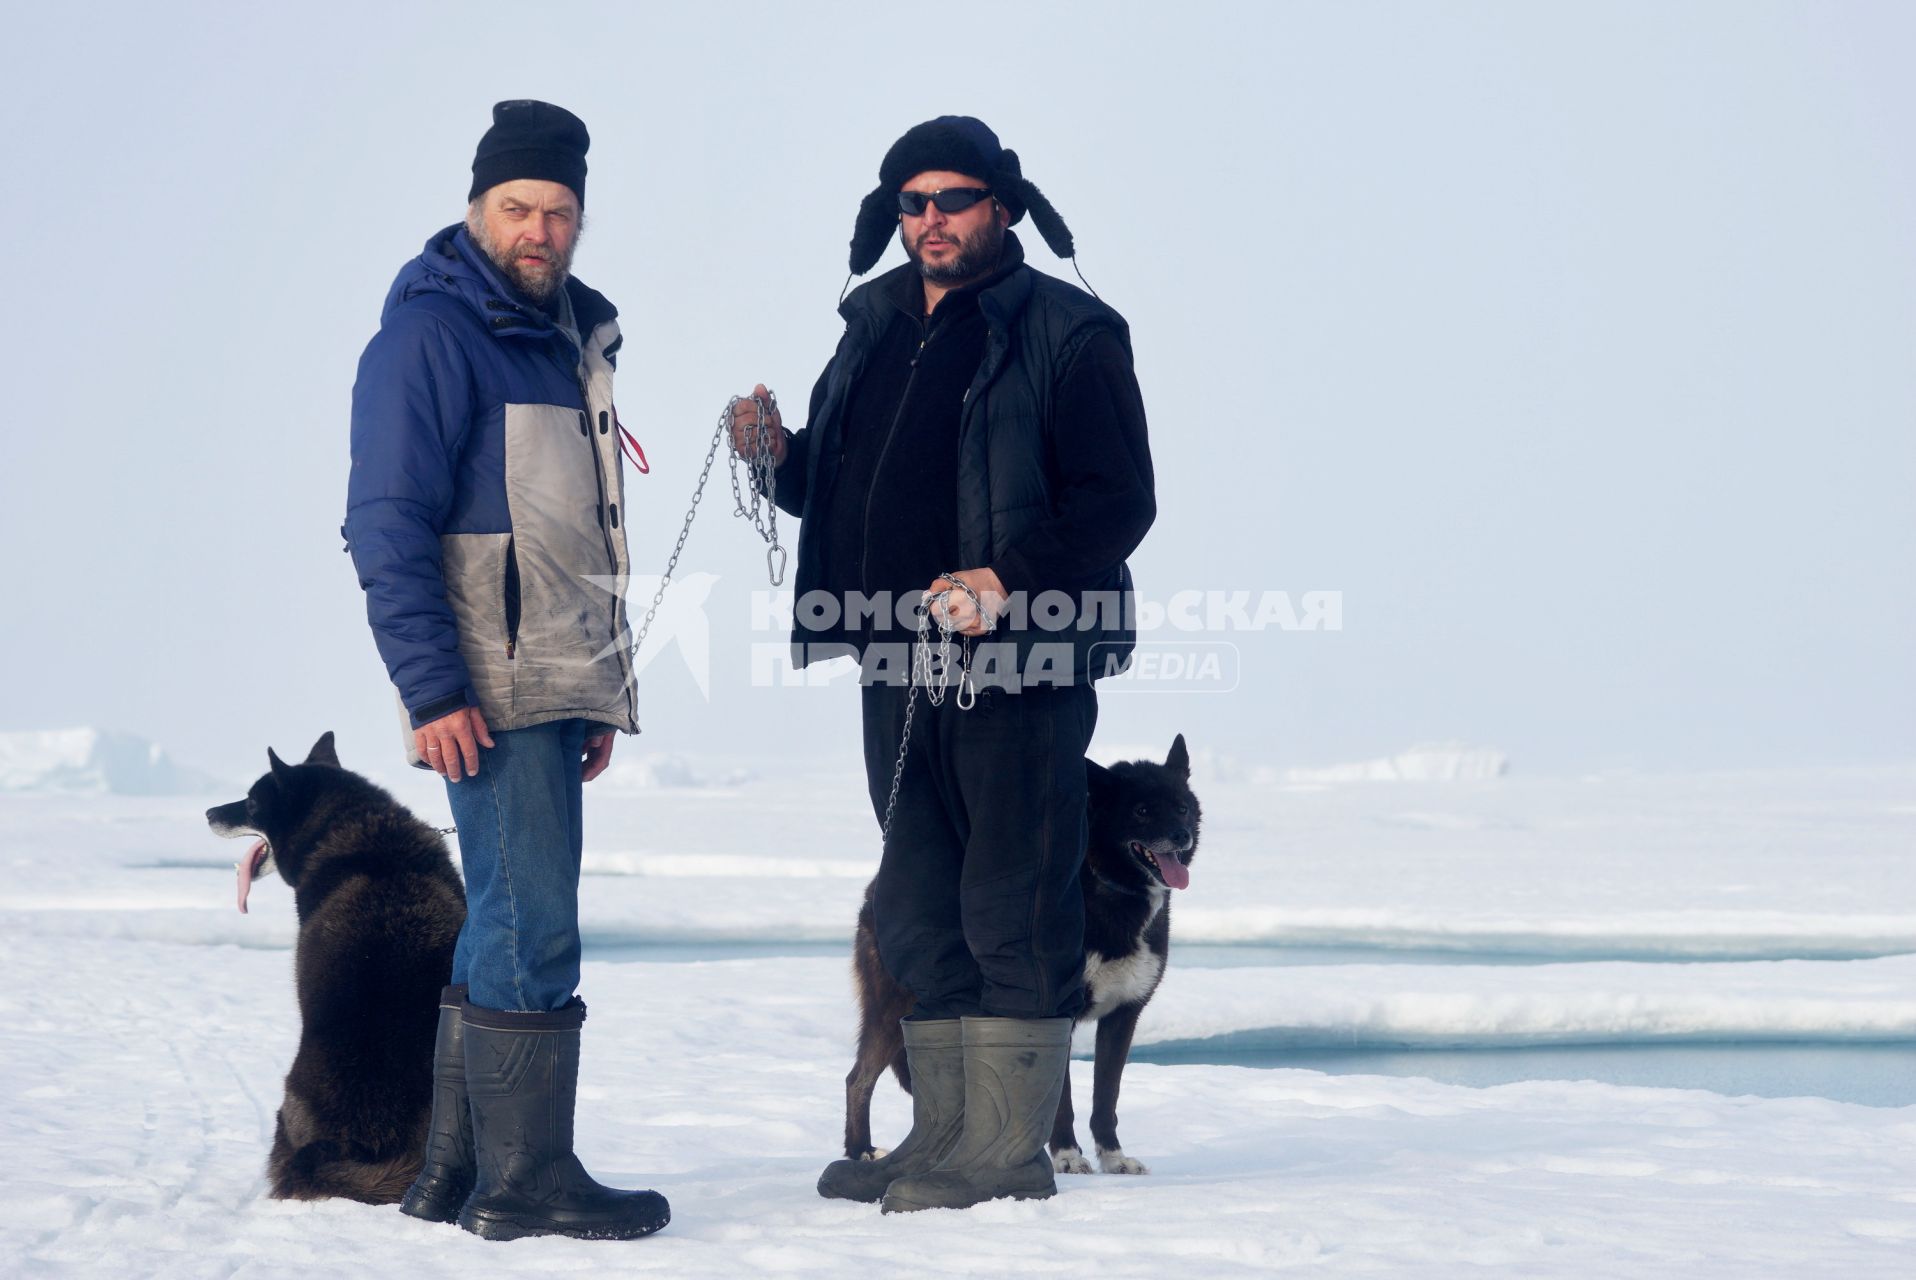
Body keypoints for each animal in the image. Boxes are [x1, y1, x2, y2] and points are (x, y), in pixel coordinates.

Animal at [839, 735, 1195, 1172]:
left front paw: (1114, 1159)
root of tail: (878, 888)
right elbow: (1062, 1100)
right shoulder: (1056, 1012)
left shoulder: (1123, 1015)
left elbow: (1105, 1099)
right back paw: (861, 1151)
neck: (1109, 890)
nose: (1181, 835)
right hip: (893, 1009)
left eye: (1182, 806)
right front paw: (1067, 1157)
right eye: (1142, 811)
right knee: (858, 1079)